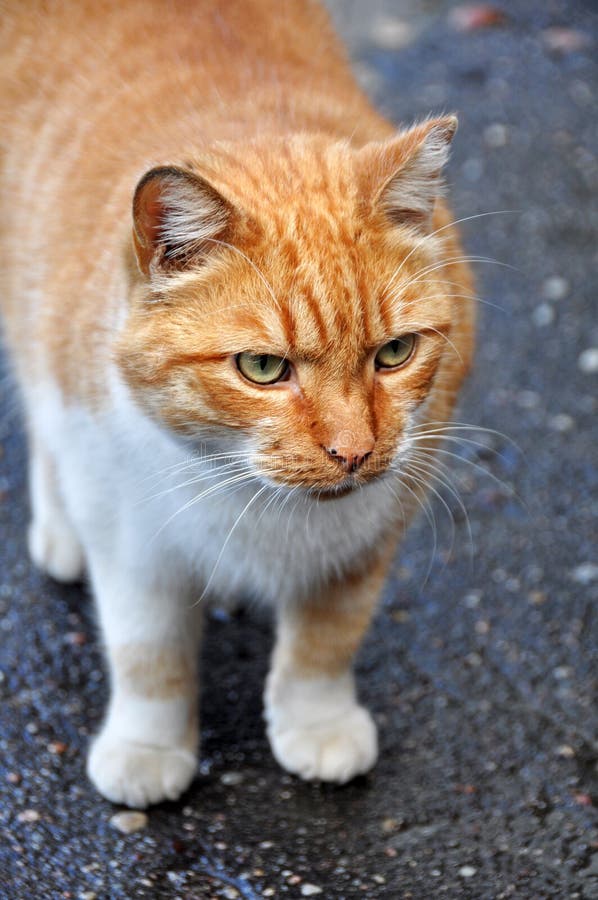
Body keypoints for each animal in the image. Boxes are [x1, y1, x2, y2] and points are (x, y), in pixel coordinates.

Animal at [1, 0, 478, 808]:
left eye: (394, 354)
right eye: (263, 368)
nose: (355, 451)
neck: (248, 493)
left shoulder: (374, 527)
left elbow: (327, 637)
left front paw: (316, 723)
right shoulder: (131, 541)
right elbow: (149, 653)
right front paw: (148, 747)